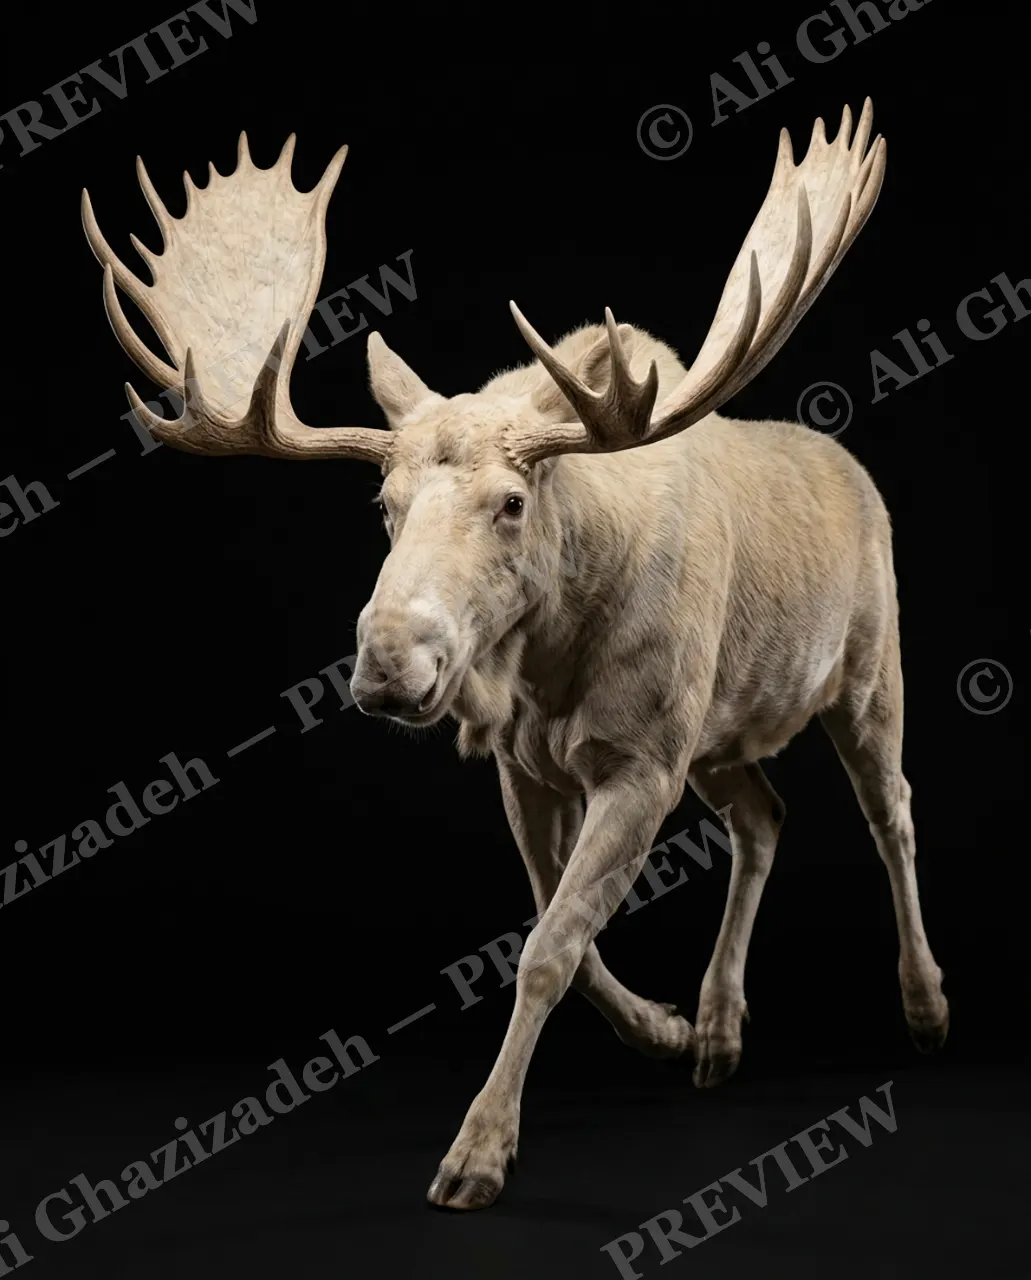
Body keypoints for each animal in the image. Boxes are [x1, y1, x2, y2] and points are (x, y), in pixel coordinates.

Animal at [82, 97, 949, 1211]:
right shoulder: (529, 762)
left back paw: (923, 1005)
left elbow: (548, 946)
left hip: (866, 672)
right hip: (718, 735)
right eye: (383, 505)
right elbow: (552, 925)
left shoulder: (641, 760)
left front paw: (478, 1154)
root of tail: (855, 475)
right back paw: (717, 1028)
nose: (387, 663)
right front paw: (662, 1029)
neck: (547, 662)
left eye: (509, 501)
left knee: (892, 810)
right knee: (763, 816)